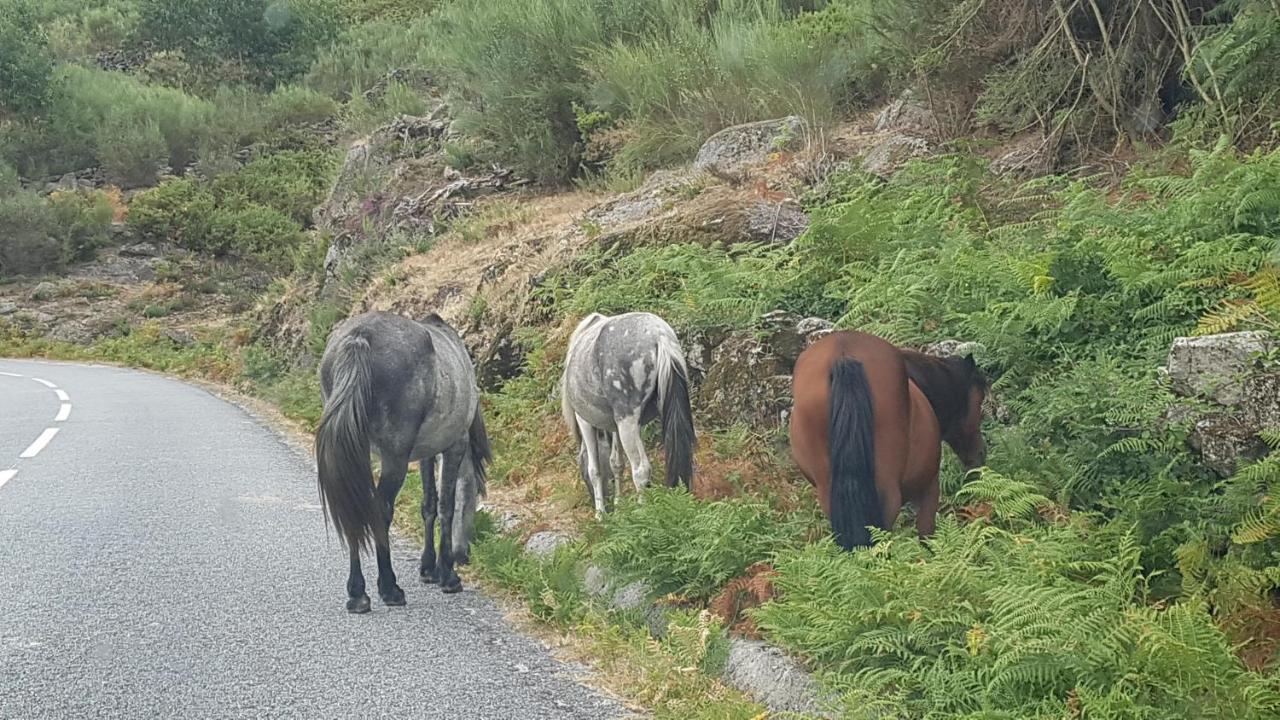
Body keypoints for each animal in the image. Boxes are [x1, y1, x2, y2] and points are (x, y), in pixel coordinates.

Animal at [314, 310, 488, 609]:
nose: (464, 555)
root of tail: (360, 337)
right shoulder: (453, 447)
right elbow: (446, 506)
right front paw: (447, 574)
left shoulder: (427, 454)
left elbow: (428, 506)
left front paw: (429, 568)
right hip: (394, 459)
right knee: (380, 509)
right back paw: (389, 588)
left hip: (357, 452)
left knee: (355, 509)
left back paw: (358, 593)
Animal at [563, 311, 696, 512]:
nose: (603, 501)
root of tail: (658, 335)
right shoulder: (615, 426)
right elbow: (616, 463)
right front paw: (619, 506)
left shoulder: (584, 421)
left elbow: (595, 470)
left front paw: (600, 514)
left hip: (627, 422)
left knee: (641, 470)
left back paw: (641, 512)